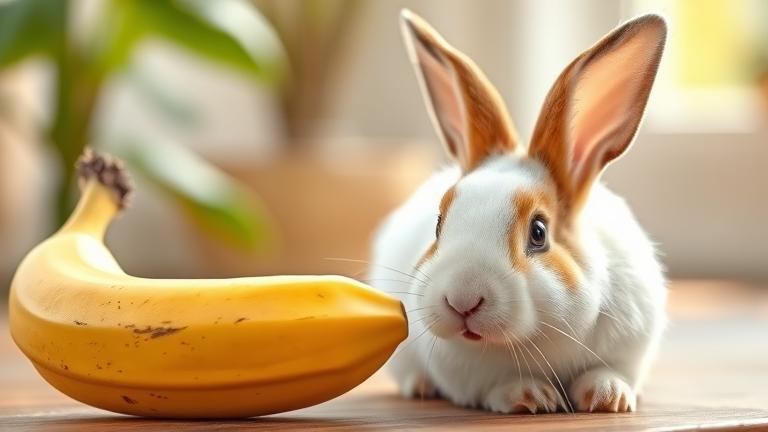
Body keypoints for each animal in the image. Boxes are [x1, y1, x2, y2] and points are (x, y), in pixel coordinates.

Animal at [369, 9, 668, 414]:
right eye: (438, 225)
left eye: (539, 232)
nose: (462, 301)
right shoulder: (466, 374)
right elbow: (495, 384)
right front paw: (531, 397)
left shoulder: (631, 348)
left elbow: (612, 371)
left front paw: (608, 396)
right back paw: (420, 386)